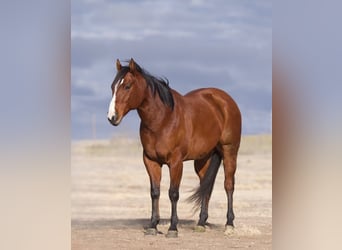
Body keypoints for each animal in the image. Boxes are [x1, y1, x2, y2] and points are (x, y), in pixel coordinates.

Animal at [107, 58, 240, 238]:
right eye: (112, 87)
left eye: (127, 86)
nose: (112, 117)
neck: (163, 119)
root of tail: (225, 99)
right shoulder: (151, 161)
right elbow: (155, 192)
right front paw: (153, 226)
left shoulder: (176, 162)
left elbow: (173, 193)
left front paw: (172, 228)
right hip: (202, 159)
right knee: (206, 186)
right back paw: (201, 223)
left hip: (229, 152)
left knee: (229, 185)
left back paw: (229, 224)